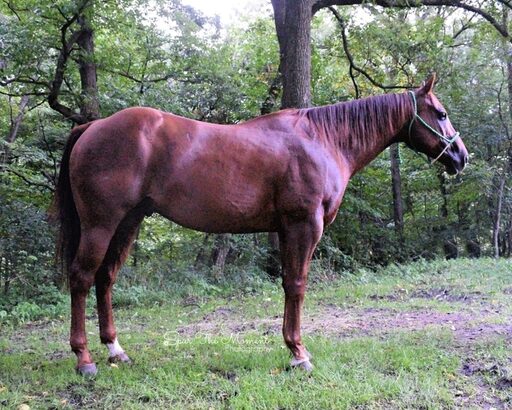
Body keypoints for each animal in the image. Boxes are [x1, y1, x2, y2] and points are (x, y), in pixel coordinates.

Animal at [52, 73, 468, 374]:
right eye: (441, 114)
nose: (462, 156)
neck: (322, 140)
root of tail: (92, 126)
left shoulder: (286, 230)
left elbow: (287, 284)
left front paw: (292, 347)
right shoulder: (303, 226)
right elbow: (297, 285)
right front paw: (299, 354)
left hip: (128, 223)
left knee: (105, 278)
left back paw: (115, 350)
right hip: (101, 224)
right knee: (82, 278)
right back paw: (84, 359)